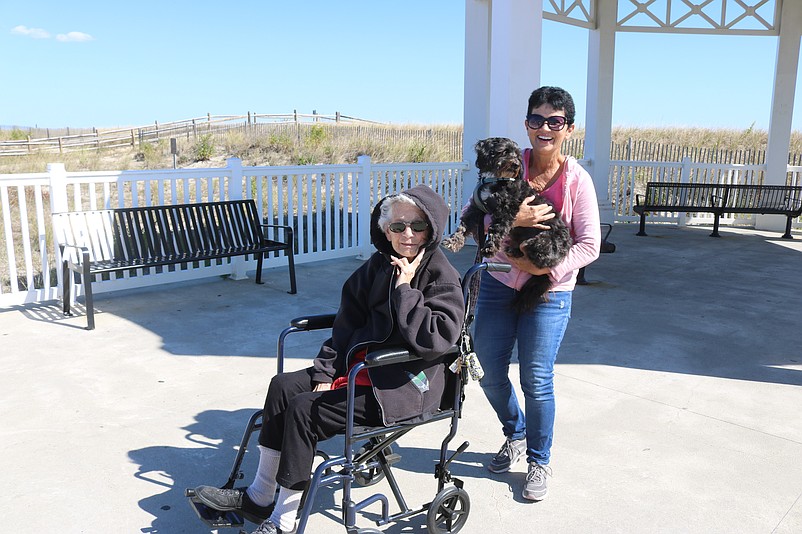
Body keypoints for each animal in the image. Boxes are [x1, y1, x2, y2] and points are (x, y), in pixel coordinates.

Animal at [440, 138, 572, 312]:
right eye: (504, 151)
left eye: (517, 155)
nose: (516, 165)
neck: (495, 180)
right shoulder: (476, 209)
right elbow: (463, 226)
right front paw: (453, 242)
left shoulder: (506, 210)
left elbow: (496, 229)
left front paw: (490, 248)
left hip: (542, 241)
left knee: (537, 257)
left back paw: (515, 250)